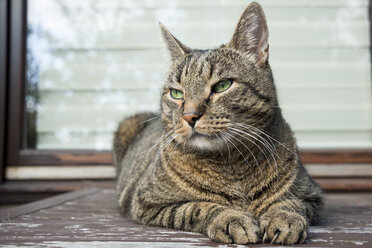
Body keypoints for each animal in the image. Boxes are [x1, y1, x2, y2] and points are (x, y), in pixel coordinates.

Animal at [113, 2, 322, 245]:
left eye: (222, 85)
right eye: (177, 93)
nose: (189, 116)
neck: (231, 164)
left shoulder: (311, 194)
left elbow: (291, 202)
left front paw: (284, 218)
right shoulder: (147, 203)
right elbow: (197, 207)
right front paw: (231, 218)